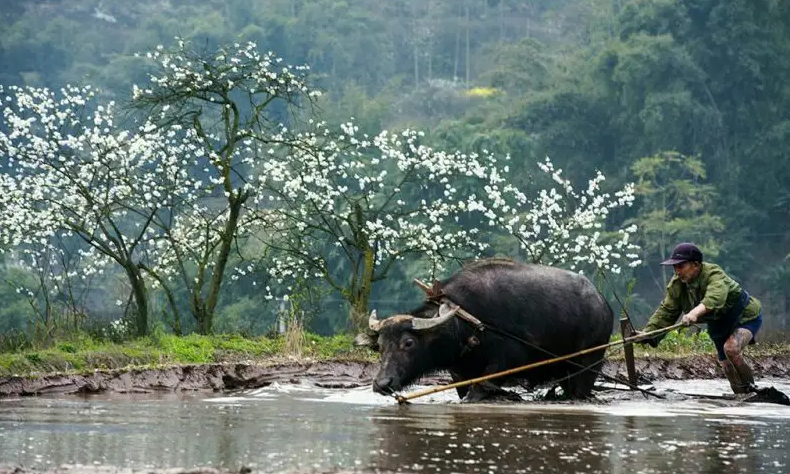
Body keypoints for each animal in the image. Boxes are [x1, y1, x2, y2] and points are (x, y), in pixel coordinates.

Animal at [356, 258, 616, 402]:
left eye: (408, 343)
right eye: (380, 346)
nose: (382, 384)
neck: (466, 324)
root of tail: (603, 305)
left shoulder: (506, 362)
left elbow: (481, 388)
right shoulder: (458, 373)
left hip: (589, 363)